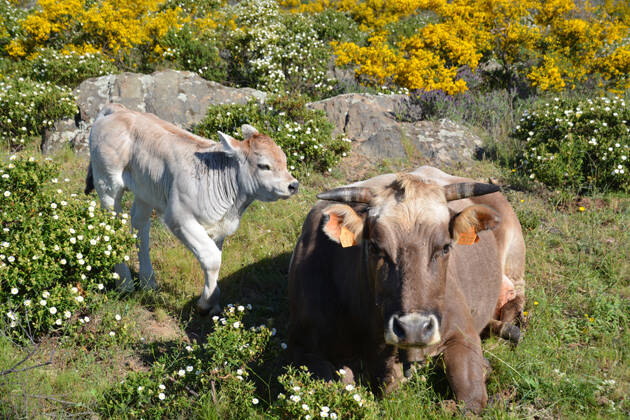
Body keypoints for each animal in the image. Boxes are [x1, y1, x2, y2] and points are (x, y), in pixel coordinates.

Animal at [288, 168, 524, 414]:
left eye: (445, 247)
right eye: (374, 246)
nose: (414, 329)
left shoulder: (462, 333)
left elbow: (469, 402)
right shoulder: (301, 345)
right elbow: (340, 382)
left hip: (516, 259)